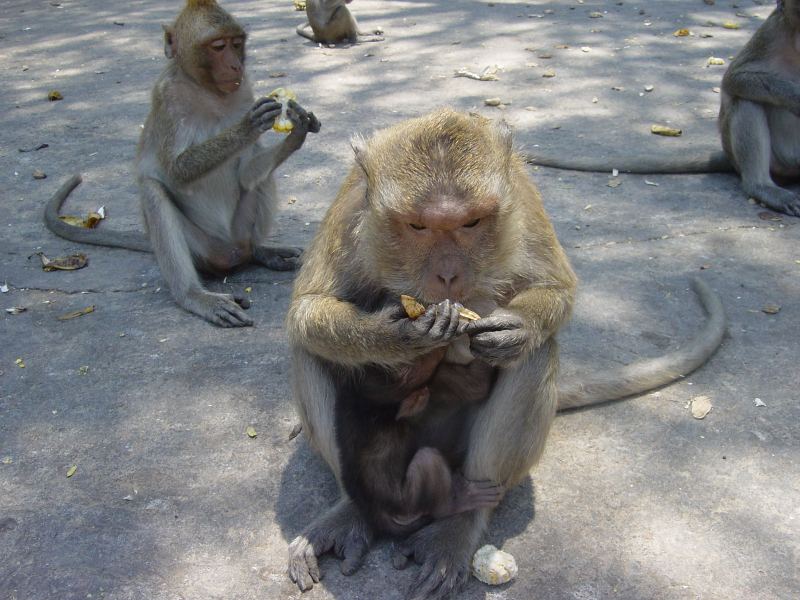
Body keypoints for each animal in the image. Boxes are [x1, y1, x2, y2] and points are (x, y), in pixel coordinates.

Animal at [45, 0, 320, 328]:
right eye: (218, 46)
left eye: (236, 44)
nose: (236, 66)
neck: (207, 90)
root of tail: (231, 252)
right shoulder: (167, 98)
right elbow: (176, 173)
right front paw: (248, 126)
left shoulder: (244, 89)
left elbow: (246, 176)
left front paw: (299, 128)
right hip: (202, 248)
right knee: (153, 192)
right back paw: (195, 296)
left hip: (239, 232)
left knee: (261, 181)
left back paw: (262, 251)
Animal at [284, 109, 728, 600]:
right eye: (418, 227)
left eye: (471, 223)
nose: (448, 275)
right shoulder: (350, 207)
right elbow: (307, 310)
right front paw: (398, 333)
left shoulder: (523, 200)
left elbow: (557, 289)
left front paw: (516, 327)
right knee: (313, 351)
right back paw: (355, 508)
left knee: (532, 359)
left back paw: (459, 519)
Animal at [524, 1, 800, 218]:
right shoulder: (772, 31)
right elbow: (734, 78)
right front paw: (795, 95)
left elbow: (736, 78)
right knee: (746, 100)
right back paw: (761, 186)